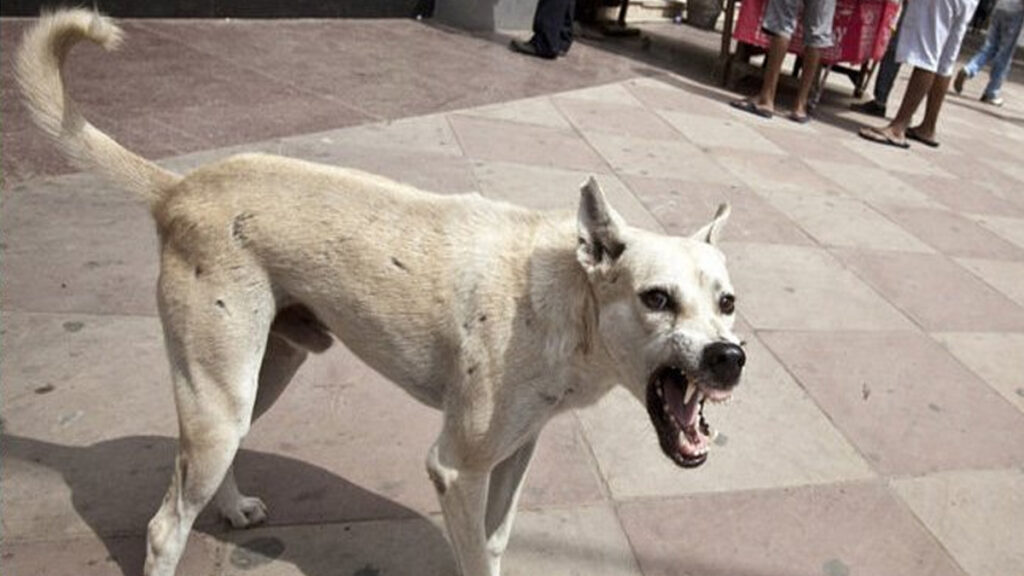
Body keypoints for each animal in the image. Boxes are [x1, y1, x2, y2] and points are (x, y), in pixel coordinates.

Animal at [16, 9, 746, 576]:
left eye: (728, 303)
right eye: (656, 298)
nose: (729, 358)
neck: (563, 300)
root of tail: (177, 188)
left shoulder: (516, 451)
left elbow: (496, 543)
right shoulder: (456, 467)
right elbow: (474, 554)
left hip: (258, 376)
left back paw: (231, 507)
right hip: (221, 393)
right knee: (165, 526)